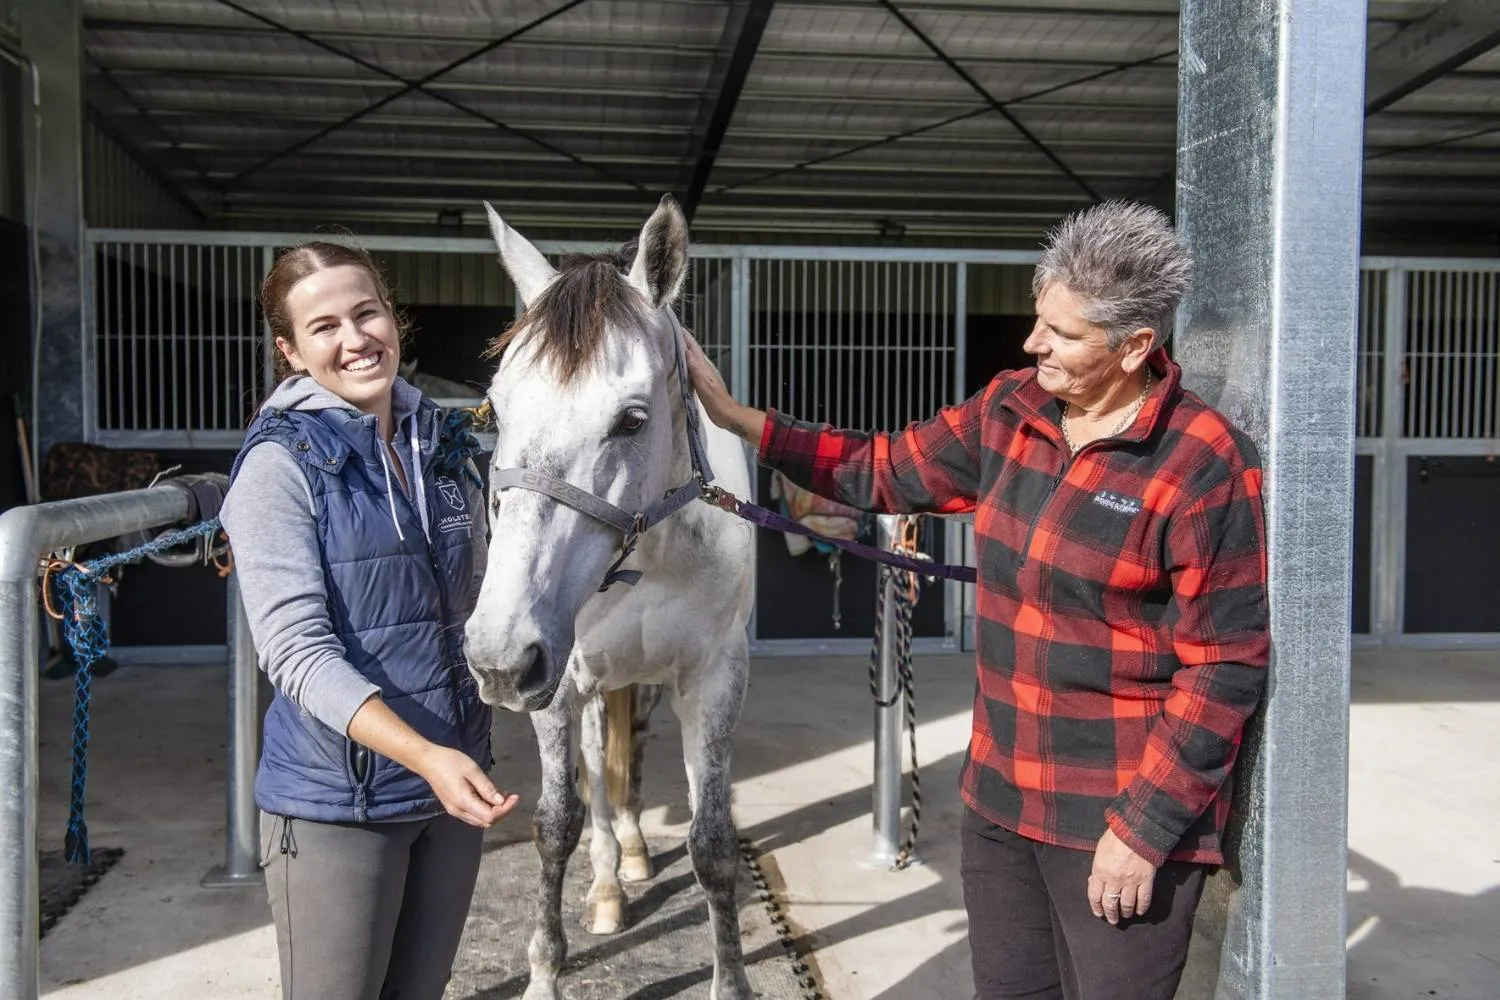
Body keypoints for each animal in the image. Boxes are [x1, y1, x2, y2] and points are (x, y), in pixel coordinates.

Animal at [462, 194, 757, 1000]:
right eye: (495, 410)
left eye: (631, 419)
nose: (496, 657)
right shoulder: (556, 678)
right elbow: (556, 821)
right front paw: (544, 972)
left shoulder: (715, 677)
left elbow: (712, 841)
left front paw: (731, 981)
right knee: (597, 767)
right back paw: (605, 886)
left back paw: (630, 851)